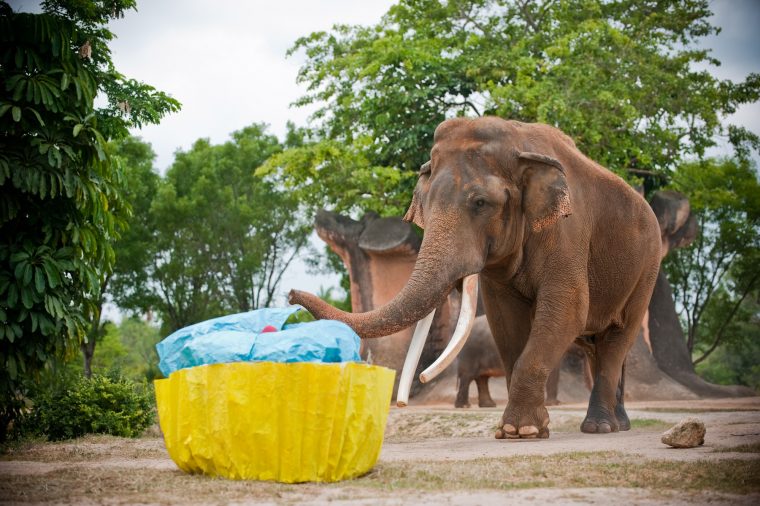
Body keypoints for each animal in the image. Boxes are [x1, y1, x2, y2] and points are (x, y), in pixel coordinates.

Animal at [290, 117, 660, 438]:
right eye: (425, 204)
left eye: (481, 203)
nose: (291, 295)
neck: (518, 139)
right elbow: (505, 320)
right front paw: (518, 430)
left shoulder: (568, 231)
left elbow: (567, 307)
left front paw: (521, 430)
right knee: (599, 345)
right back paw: (617, 424)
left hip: (648, 268)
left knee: (617, 338)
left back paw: (599, 427)